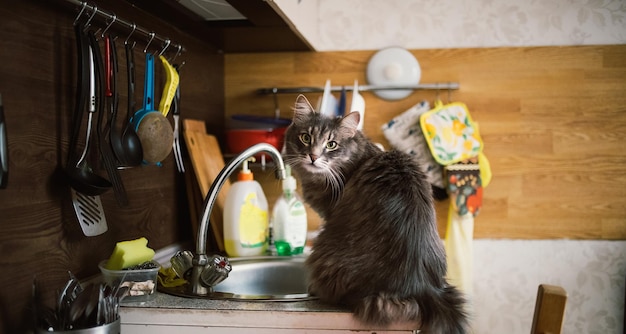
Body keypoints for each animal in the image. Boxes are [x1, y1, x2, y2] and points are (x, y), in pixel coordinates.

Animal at [280, 94, 466, 334]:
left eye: (331, 145)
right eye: (305, 138)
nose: (313, 156)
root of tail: (422, 284)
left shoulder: (330, 213)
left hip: (324, 253)